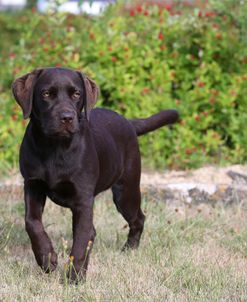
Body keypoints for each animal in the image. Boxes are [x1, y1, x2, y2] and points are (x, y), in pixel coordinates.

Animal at [11, 67, 178, 282]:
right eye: (46, 94)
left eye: (76, 94)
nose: (67, 117)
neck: (55, 148)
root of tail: (128, 122)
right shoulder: (33, 185)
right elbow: (32, 223)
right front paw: (47, 259)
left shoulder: (83, 198)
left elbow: (81, 240)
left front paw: (74, 278)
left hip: (126, 192)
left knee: (138, 219)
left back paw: (129, 249)